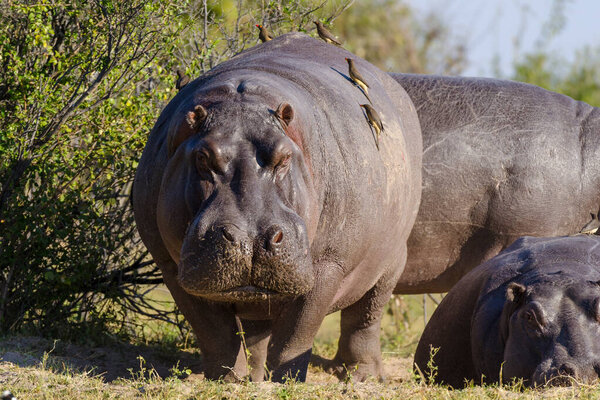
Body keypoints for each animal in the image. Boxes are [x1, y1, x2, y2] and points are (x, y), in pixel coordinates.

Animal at [131, 33, 422, 382]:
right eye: (202, 156)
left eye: (284, 156)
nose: (250, 238)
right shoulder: (171, 265)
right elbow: (214, 333)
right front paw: (228, 379)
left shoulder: (327, 266)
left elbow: (297, 334)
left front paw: (288, 380)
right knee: (257, 332)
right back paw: (255, 379)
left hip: (391, 262)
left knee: (364, 318)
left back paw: (363, 376)